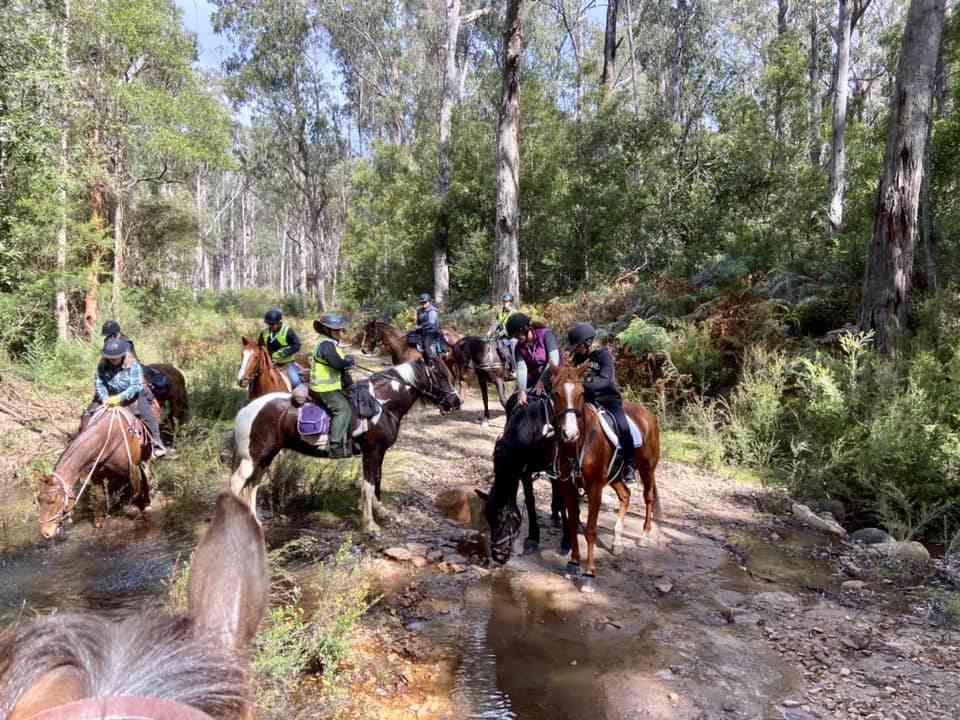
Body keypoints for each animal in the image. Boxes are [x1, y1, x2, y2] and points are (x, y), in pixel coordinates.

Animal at [38, 404, 156, 540]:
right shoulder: (96, 477)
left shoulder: (132, 469)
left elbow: (136, 493)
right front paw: (100, 522)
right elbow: (99, 499)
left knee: (146, 475)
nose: (45, 533)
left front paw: (141, 508)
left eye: (52, 501)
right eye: (39, 499)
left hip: (145, 457)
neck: (107, 441)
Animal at [229, 360, 462, 536]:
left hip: (265, 457)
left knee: (252, 486)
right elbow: (368, 485)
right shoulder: (371, 452)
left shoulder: (380, 452)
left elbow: (377, 480)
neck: (382, 404)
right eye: (441, 376)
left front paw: (381, 511)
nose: (456, 402)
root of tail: (246, 410)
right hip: (252, 459)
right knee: (236, 484)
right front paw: (370, 525)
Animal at [476, 390, 568, 564]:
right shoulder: (524, 471)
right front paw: (533, 537)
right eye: (488, 517)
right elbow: (530, 500)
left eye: (503, 518)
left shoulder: (557, 466)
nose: (497, 555)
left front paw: (567, 539)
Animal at [548, 362, 660, 592]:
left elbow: (590, 530)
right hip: (615, 476)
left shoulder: (595, 487)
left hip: (647, 468)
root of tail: (649, 415)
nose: (569, 433)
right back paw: (617, 542)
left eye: (581, 393)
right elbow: (573, 522)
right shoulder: (568, 485)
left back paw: (644, 536)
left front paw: (589, 575)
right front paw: (573, 563)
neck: (579, 443)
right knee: (625, 495)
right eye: (555, 393)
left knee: (648, 498)